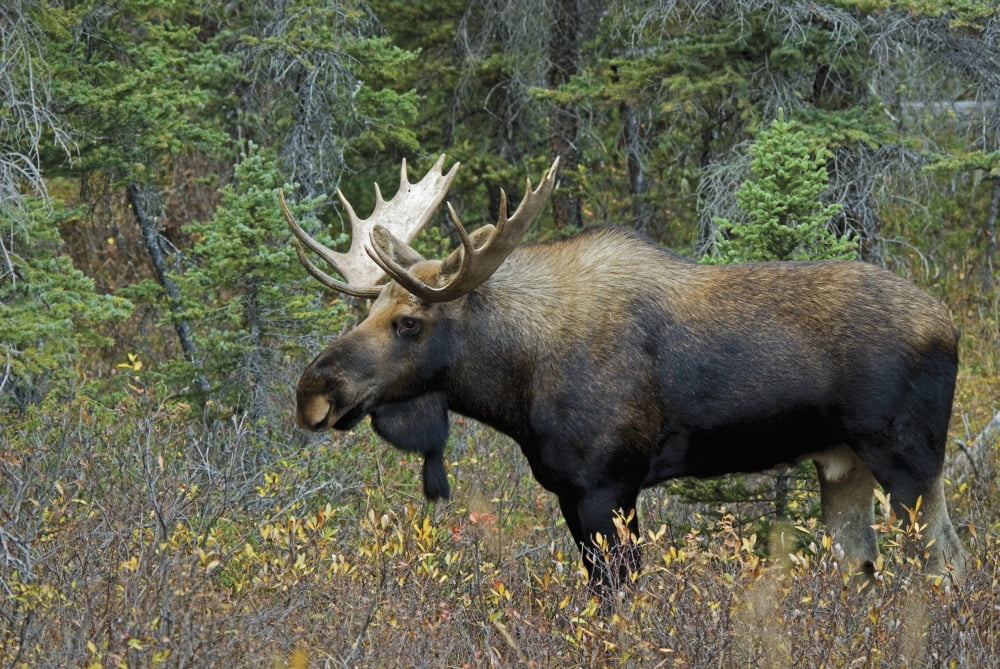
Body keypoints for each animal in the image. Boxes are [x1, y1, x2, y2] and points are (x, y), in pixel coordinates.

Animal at [281, 155, 967, 601]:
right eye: (367, 309)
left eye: (409, 322)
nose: (313, 392)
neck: (516, 385)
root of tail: (952, 324)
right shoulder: (568, 489)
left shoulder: (608, 484)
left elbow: (620, 598)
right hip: (843, 463)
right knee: (866, 567)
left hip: (908, 458)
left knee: (946, 561)